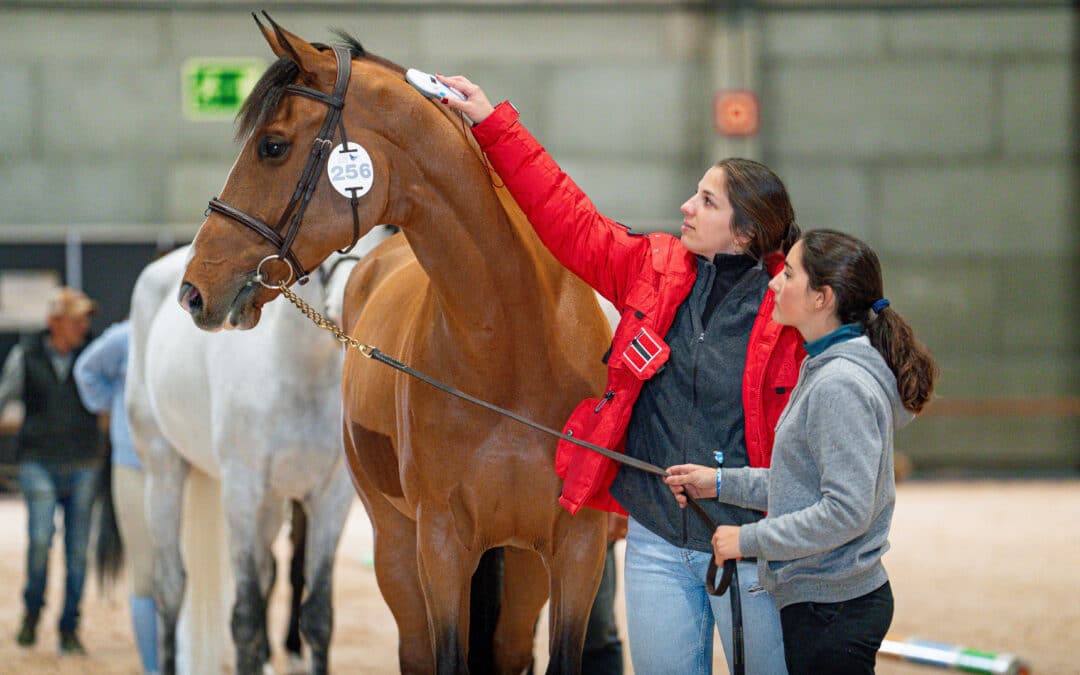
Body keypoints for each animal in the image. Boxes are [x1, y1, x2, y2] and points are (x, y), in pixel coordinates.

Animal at [127, 227, 397, 673]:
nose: (350, 304)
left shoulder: (332, 498)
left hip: (271, 504)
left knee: (268, 573)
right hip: (164, 472)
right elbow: (246, 616)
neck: (295, 367)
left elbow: (318, 614)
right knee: (170, 588)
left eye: (392, 230)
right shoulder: (241, 490)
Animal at [180, 15, 613, 673]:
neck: (516, 349)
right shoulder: (441, 545)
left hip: (521, 570)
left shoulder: (578, 549)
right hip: (394, 547)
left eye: (272, 146)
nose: (194, 289)